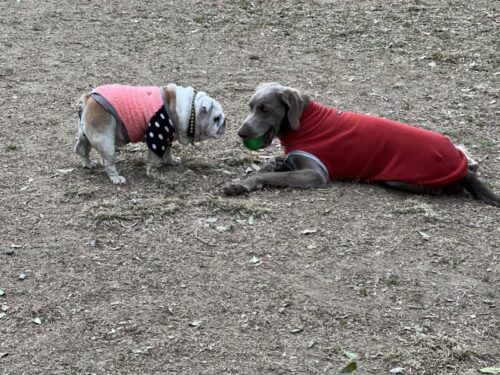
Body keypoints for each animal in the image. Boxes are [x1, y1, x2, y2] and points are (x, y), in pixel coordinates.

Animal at [225, 81, 498, 209]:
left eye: (265, 109)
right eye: (250, 106)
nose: (240, 132)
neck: (305, 121)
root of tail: (460, 164)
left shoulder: (314, 174)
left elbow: (271, 176)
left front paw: (245, 183)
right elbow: (273, 164)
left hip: (400, 178)